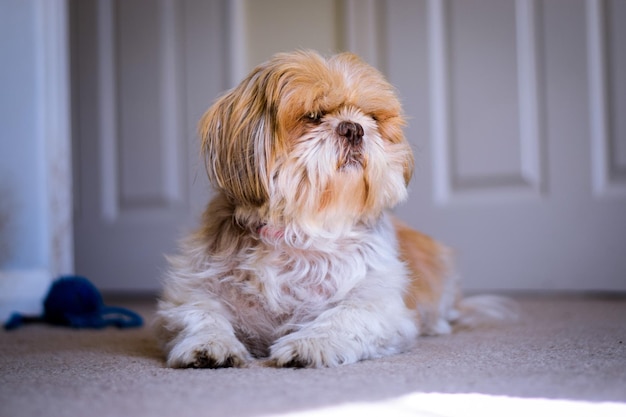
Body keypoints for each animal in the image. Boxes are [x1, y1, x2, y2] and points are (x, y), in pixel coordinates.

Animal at [155, 49, 508, 368]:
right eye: (313, 116)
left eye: (372, 118)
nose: (354, 127)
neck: (303, 228)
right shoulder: (191, 293)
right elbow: (201, 313)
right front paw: (208, 344)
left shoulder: (379, 304)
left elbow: (345, 316)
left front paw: (310, 344)